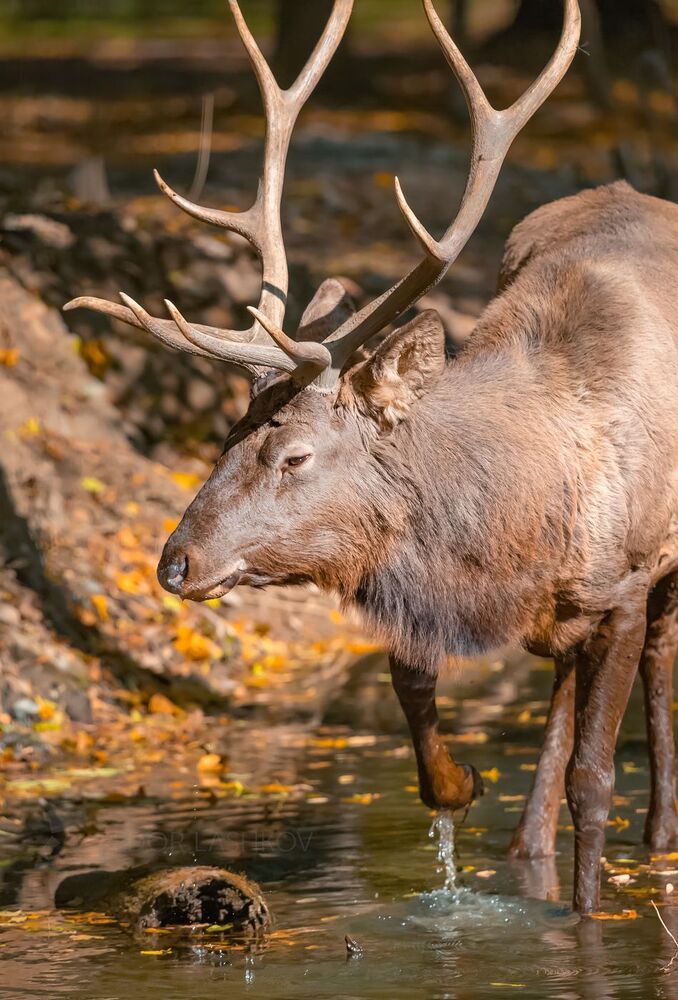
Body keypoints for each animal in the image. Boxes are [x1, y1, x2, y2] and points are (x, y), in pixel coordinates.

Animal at [64, 0, 678, 914]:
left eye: (294, 457)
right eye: (227, 436)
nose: (174, 563)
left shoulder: (627, 582)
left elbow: (595, 781)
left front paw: (585, 917)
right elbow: (412, 685)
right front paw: (459, 784)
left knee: (659, 667)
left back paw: (660, 835)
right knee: (561, 692)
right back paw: (525, 844)